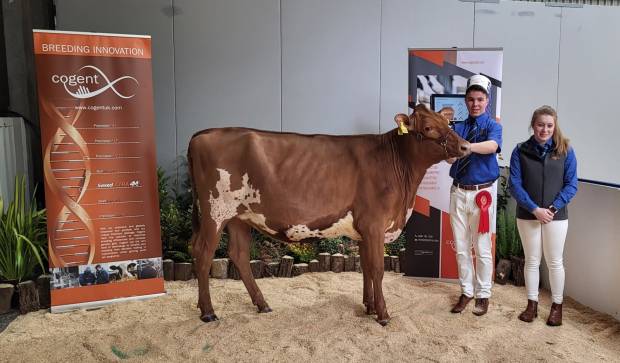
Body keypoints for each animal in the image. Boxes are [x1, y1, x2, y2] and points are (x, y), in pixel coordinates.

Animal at [188, 104, 470, 326]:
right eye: (428, 128)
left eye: (448, 122)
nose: (465, 146)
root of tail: (203, 134)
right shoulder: (374, 224)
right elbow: (378, 269)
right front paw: (382, 314)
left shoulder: (363, 228)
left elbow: (366, 268)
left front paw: (368, 306)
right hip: (215, 211)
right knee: (203, 252)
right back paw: (208, 312)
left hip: (239, 217)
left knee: (238, 254)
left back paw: (262, 304)